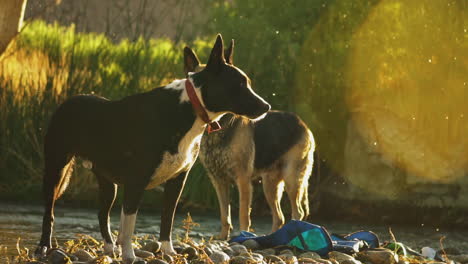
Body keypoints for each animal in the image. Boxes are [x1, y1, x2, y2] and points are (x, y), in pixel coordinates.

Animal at [183, 44, 314, 238]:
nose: (266, 107)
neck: (219, 127)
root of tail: (303, 124)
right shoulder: (219, 182)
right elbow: (225, 215)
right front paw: (223, 238)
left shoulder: (243, 181)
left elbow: (243, 214)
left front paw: (243, 236)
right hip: (270, 185)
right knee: (279, 217)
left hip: (292, 179)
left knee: (298, 212)